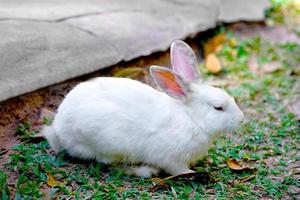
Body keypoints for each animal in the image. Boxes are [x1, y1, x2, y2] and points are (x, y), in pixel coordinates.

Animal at [42, 39, 244, 177]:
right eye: (218, 108)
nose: (242, 120)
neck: (191, 118)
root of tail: (58, 131)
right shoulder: (171, 158)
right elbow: (177, 169)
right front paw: (190, 174)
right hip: (108, 144)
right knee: (108, 163)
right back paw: (144, 171)